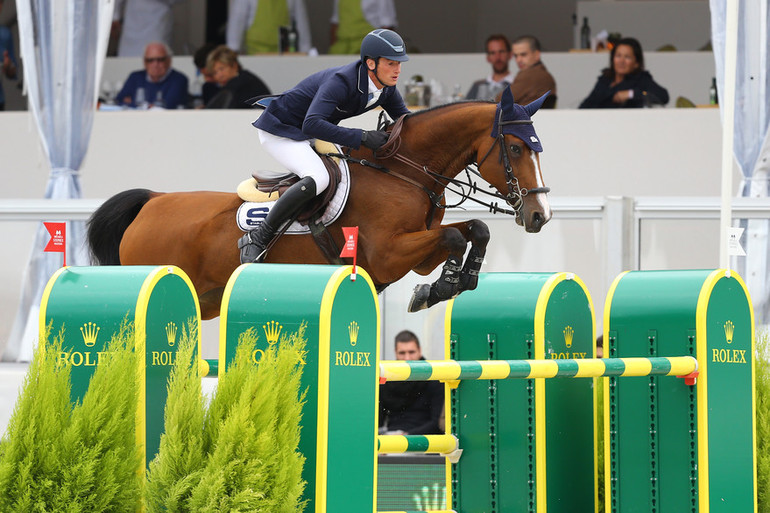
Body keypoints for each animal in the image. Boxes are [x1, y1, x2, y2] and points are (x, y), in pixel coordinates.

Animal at [87, 89, 548, 320]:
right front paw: (441, 287)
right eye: (515, 148)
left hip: (207, 301)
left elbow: (474, 230)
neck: (404, 172)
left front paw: (451, 283)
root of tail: (151, 203)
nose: (539, 216)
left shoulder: (416, 252)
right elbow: (454, 236)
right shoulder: (388, 253)